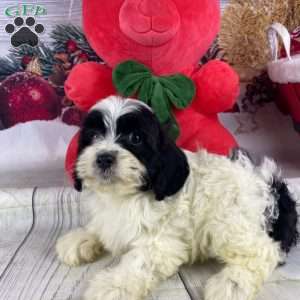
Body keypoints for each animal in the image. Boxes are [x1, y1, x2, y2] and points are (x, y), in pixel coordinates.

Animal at [55, 95, 298, 300]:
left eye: (135, 138)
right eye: (94, 136)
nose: (104, 157)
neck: (127, 196)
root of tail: (271, 185)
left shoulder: (160, 244)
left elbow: (137, 264)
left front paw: (112, 286)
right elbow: (102, 227)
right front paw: (81, 238)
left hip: (229, 220)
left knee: (263, 251)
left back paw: (231, 284)